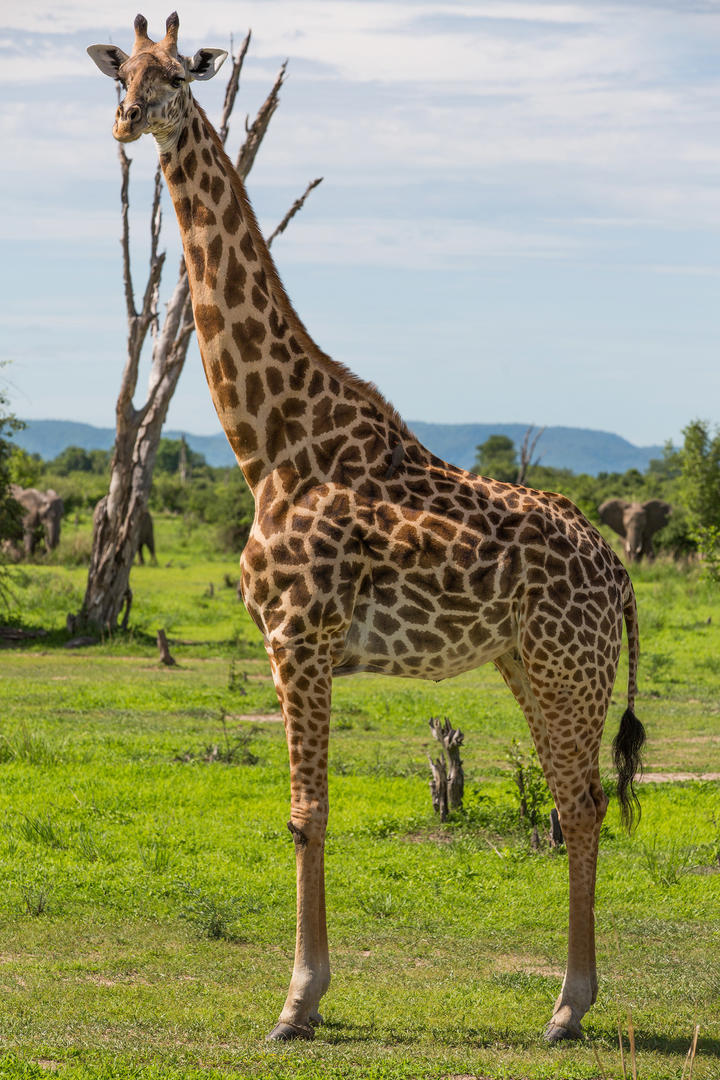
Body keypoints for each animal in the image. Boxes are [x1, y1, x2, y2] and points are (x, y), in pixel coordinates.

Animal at [87, 12, 643, 1045]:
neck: (272, 443)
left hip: (566, 666)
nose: (128, 121)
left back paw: (566, 1009)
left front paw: (297, 1003)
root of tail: (618, 570)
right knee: (572, 801)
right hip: (527, 663)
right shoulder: (299, 644)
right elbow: (306, 811)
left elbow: (308, 812)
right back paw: (569, 1003)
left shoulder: (297, 638)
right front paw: (304, 996)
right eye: (120, 74)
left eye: (180, 75)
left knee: (582, 805)